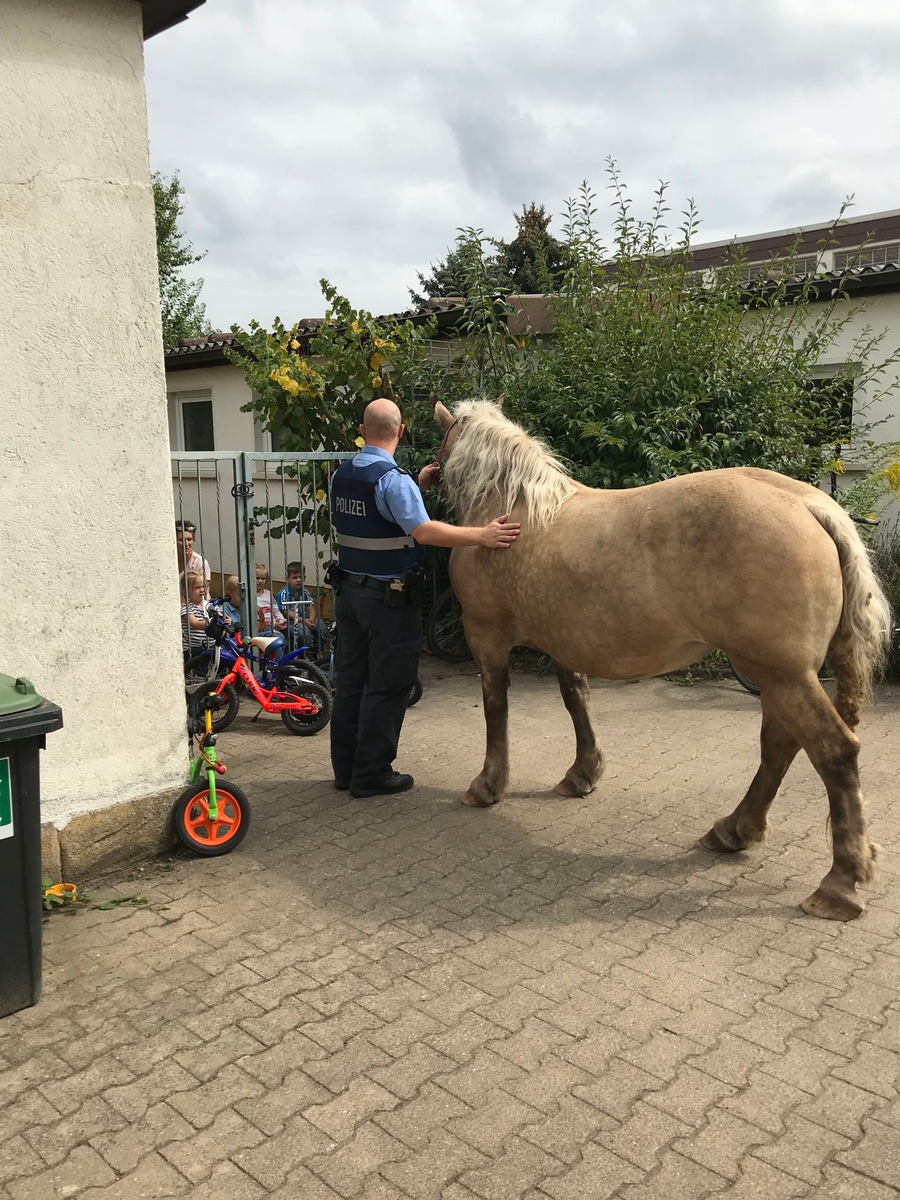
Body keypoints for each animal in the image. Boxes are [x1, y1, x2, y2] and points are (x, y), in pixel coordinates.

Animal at [436, 398, 897, 921]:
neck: (511, 509)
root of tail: (809, 504)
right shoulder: (564, 643)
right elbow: (577, 701)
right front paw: (582, 775)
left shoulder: (486, 635)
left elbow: (496, 709)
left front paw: (488, 786)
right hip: (779, 675)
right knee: (779, 746)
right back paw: (734, 830)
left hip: (782, 674)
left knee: (832, 752)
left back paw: (839, 884)